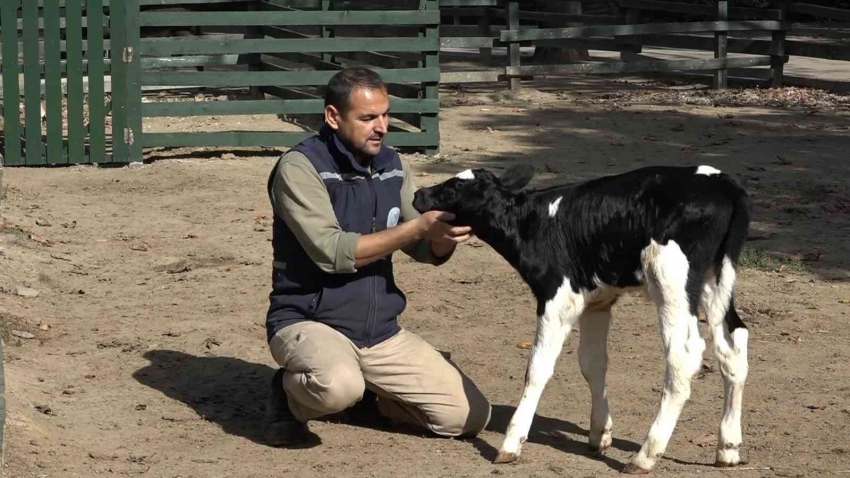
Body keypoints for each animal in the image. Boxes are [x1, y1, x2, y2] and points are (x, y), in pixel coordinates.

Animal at [410, 164, 748, 474]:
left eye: (454, 187)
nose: (418, 194)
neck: (532, 223)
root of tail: (722, 181)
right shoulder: (596, 300)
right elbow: (592, 363)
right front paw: (600, 434)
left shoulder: (557, 298)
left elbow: (538, 368)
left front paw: (511, 443)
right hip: (715, 280)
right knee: (733, 345)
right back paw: (728, 448)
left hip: (671, 279)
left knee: (684, 356)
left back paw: (645, 456)